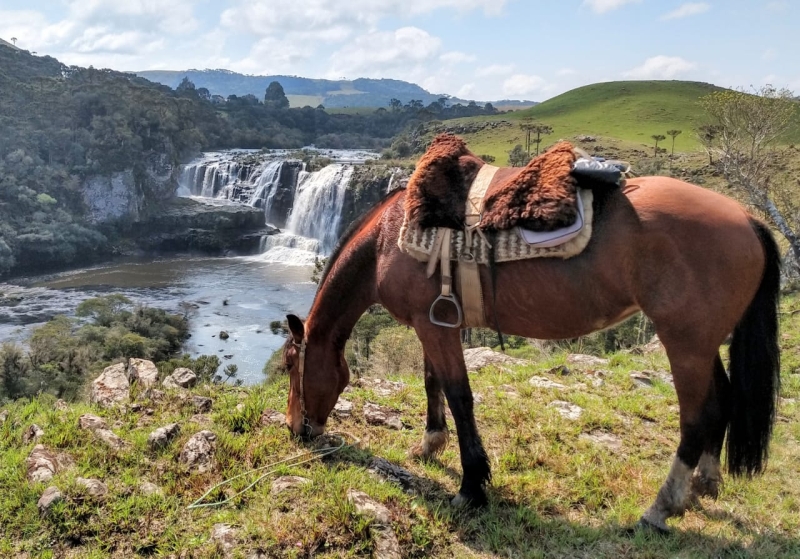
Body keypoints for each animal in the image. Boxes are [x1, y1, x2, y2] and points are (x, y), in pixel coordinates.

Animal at [280, 160, 776, 532]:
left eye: (289, 366)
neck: (389, 236)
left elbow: (459, 396)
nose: (295, 429)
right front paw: (430, 445)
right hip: (703, 340)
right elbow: (432, 382)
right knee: (723, 398)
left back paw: (661, 507)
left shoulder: (434, 326)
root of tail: (747, 217)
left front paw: (472, 486)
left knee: (697, 417)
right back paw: (703, 485)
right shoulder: (434, 321)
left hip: (684, 342)